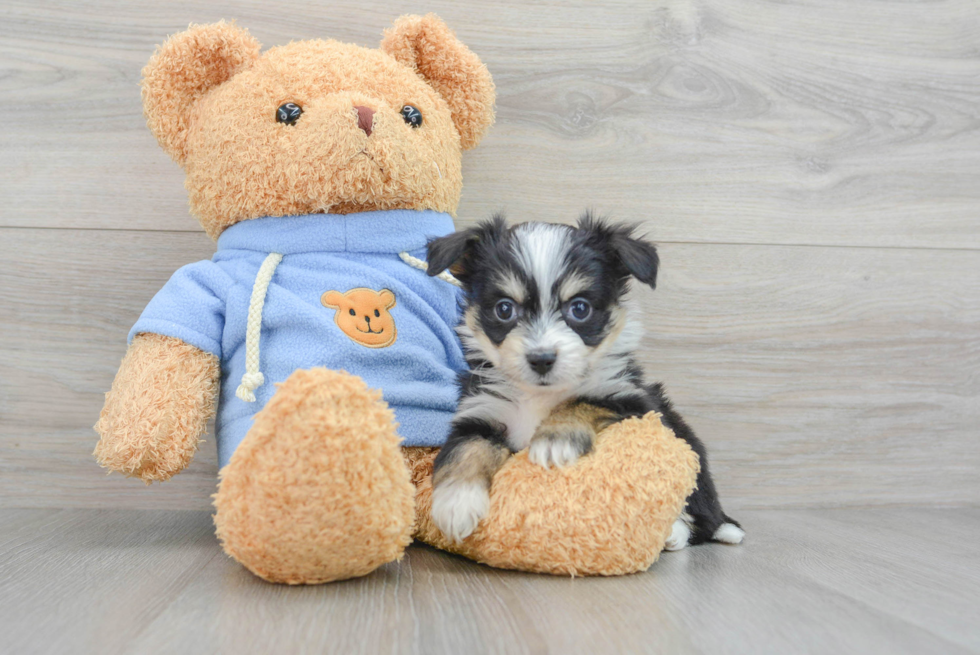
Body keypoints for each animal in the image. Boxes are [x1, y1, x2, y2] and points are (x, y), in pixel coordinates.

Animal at [424, 214, 744, 548]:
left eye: (579, 308)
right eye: (504, 309)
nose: (541, 359)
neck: (539, 395)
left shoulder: (629, 400)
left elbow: (581, 400)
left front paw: (554, 441)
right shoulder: (481, 411)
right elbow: (465, 449)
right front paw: (456, 504)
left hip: (686, 446)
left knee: (700, 516)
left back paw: (678, 533)